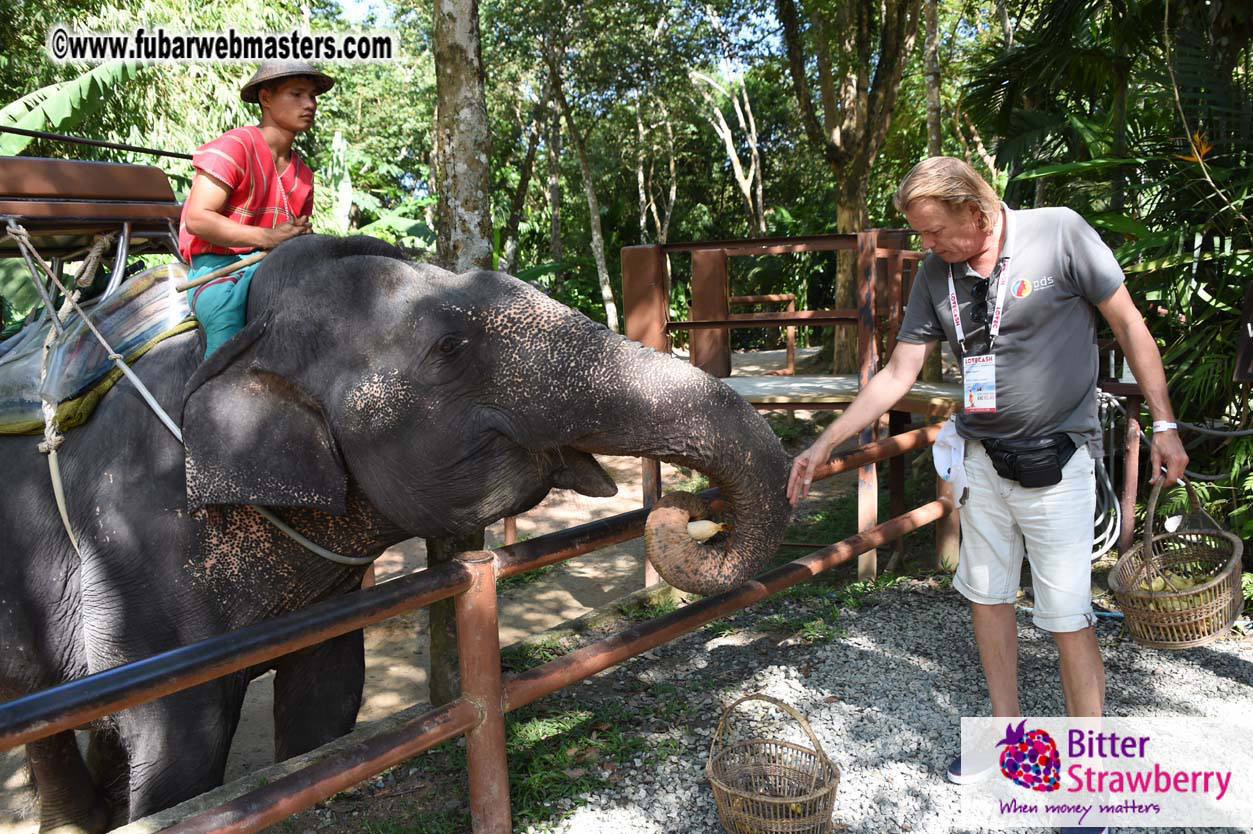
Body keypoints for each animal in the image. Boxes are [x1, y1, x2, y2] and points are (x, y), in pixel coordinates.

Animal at [0, 234, 792, 831]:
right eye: (450, 345)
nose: (679, 512)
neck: (247, 324)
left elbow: (326, 706)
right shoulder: (134, 541)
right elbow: (180, 757)